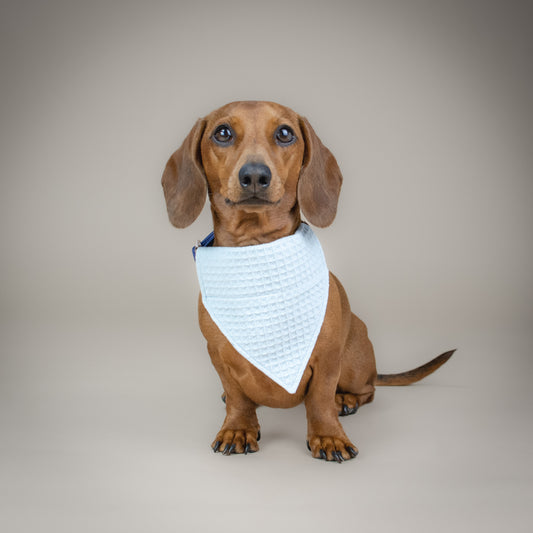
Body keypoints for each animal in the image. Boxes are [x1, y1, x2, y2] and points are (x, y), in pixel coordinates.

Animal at [162, 101, 454, 462]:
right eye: (223, 133)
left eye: (285, 133)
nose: (255, 175)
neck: (256, 247)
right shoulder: (218, 355)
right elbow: (238, 397)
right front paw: (238, 427)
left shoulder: (326, 358)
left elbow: (319, 399)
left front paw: (328, 436)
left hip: (354, 366)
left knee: (368, 389)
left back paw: (346, 400)